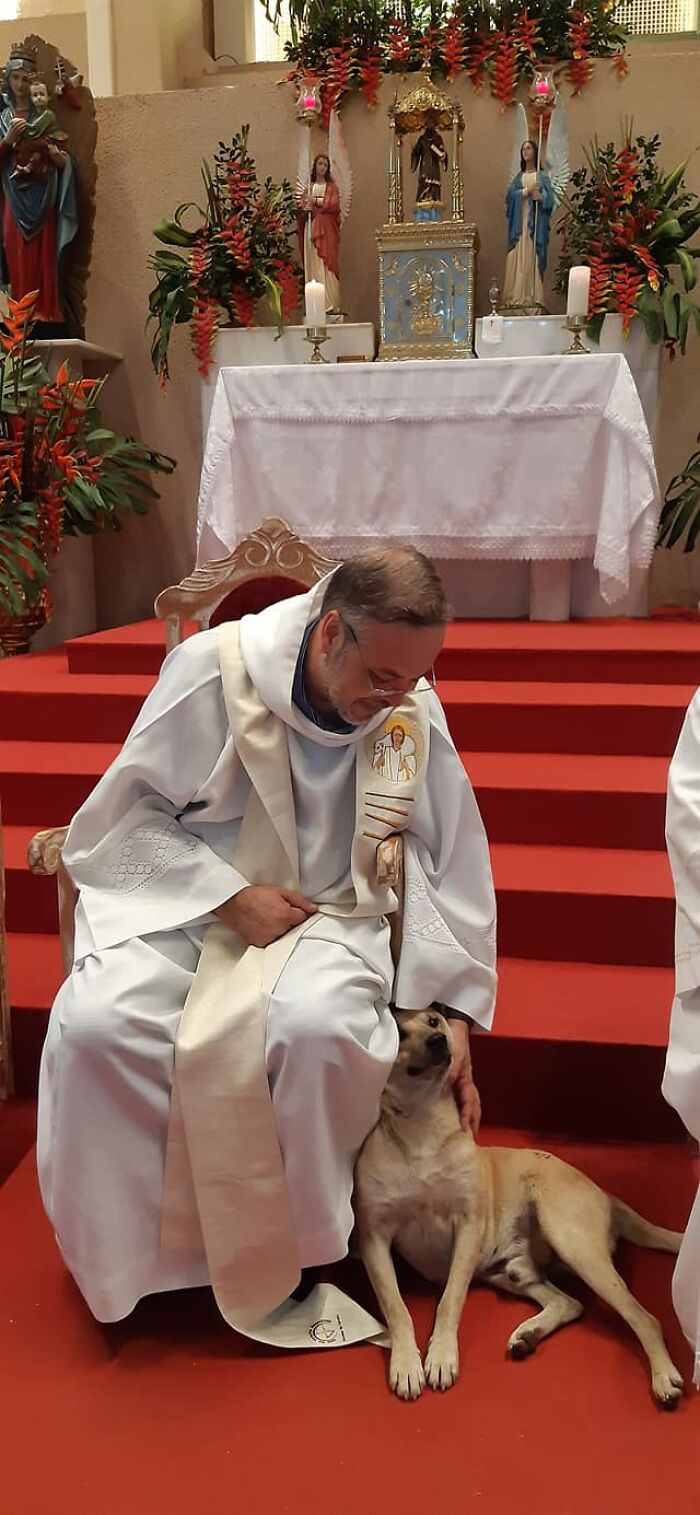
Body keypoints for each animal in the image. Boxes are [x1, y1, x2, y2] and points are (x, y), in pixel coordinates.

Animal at [353, 1005, 684, 1405]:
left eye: (433, 1020)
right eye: (399, 1033)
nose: (439, 1040)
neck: (421, 1123)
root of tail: (605, 1194)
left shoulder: (467, 1228)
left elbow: (449, 1301)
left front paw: (441, 1357)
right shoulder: (375, 1239)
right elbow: (396, 1306)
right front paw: (405, 1364)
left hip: (573, 1242)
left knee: (644, 1318)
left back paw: (664, 1376)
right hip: (512, 1272)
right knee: (570, 1303)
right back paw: (529, 1335)